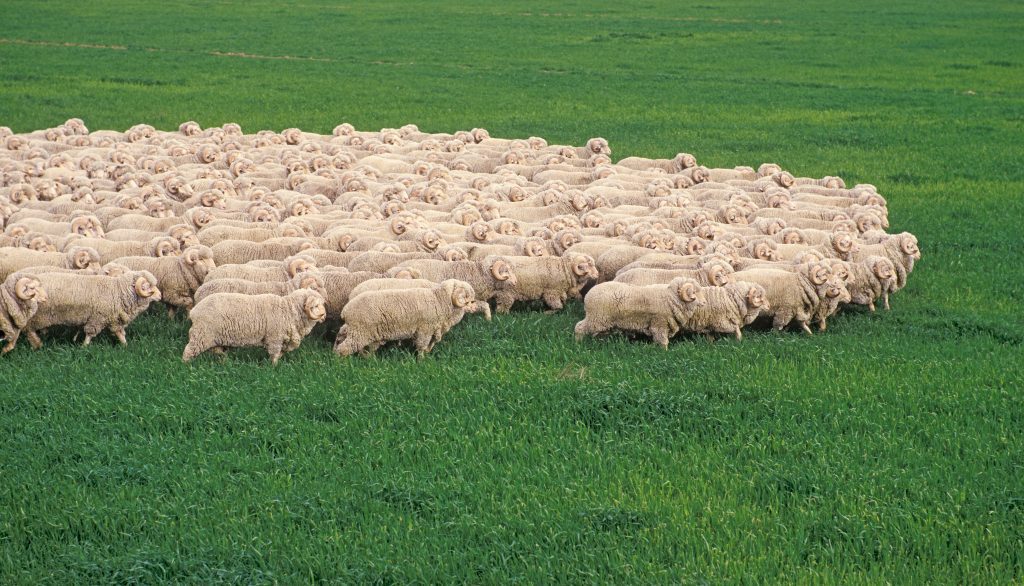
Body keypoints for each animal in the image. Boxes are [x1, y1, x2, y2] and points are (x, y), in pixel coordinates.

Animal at [20, 270, 160, 348]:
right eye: (147, 286)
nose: (160, 295)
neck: (118, 291)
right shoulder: (97, 318)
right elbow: (90, 333)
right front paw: (84, 347)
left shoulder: (113, 319)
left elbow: (119, 333)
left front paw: (125, 345)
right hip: (37, 316)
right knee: (29, 330)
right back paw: (36, 344)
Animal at [182, 288, 325, 366]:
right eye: (316, 305)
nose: (324, 316)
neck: (288, 310)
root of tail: (194, 311)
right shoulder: (274, 338)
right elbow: (274, 355)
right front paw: (274, 368)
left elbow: (280, 353)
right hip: (201, 334)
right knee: (188, 351)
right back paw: (186, 366)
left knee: (216, 351)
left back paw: (225, 361)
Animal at [333, 278, 481, 356]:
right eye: (468, 300)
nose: (475, 308)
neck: (438, 299)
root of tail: (346, 309)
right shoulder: (424, 329)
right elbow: (422, 345)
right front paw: (421, 360)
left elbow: (430, 343)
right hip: (360, 331)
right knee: (346, 347)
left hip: (357, 329)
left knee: (342, 334)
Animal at [573, 278, 708, 348]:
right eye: (694, 292)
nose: (705, 302)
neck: (670, 298)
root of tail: (588, 295)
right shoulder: (659, 323)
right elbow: (663, 340)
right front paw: (664, 352)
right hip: (596, 318)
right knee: (579, 327)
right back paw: (578, 343)